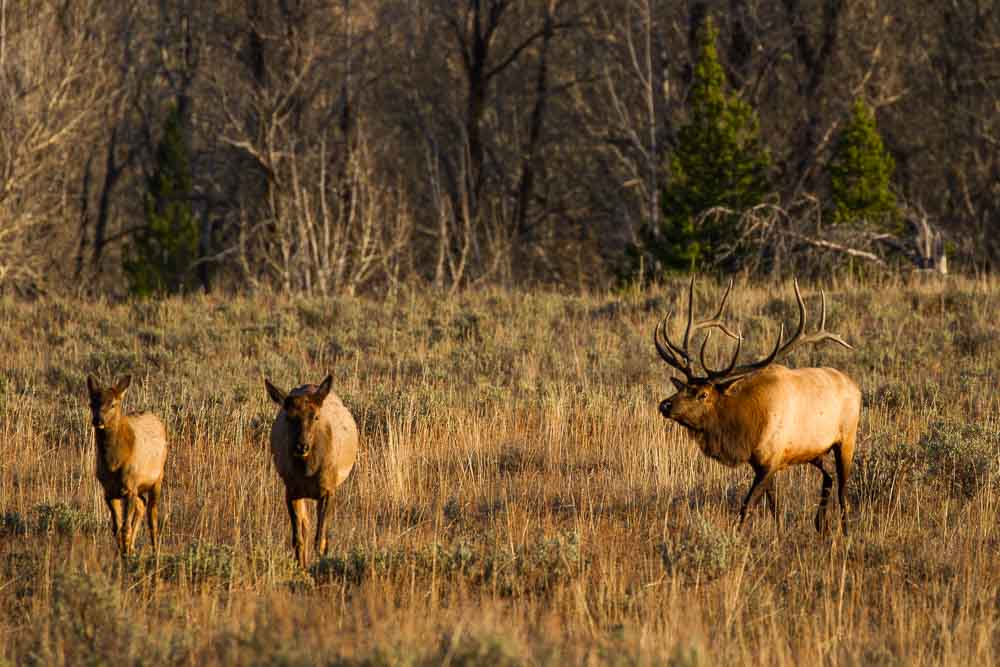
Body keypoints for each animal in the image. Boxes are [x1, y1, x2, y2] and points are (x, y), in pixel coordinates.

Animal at [86, 376, 168, 560]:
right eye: (92, 403)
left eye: (113, 404)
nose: (98, 420)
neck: (113, 463)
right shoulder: (109, 491)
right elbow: (116, 528)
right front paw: (122, 552)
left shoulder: (130, 487)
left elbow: (125, 527)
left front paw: (125, 555)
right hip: (138, 487)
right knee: (142, 505)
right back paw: (131, 548)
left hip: (157, 478)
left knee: (152, 516)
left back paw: (154, 552)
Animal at [266, 374, 360, 568]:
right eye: (288, 417)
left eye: (316, 416)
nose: (301, 446)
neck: (308, 473)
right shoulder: (291, 491)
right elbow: (298, 539)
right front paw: (301, 568)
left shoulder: (328, 489)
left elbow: (320, 540)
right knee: (306, 527)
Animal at [656, 280, 860, 536]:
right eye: (683, 387)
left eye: (703, 394)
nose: (664, 404)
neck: (746, 429)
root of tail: (856, 388)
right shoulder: (763, 463)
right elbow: (774, 506)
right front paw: (779, 534)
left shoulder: (770, 461)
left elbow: (747, 506)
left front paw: (736, 537)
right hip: (815, 450)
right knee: (829, 476)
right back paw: (820, 525)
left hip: (847, 438)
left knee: (843, 491)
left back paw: (846, 533)